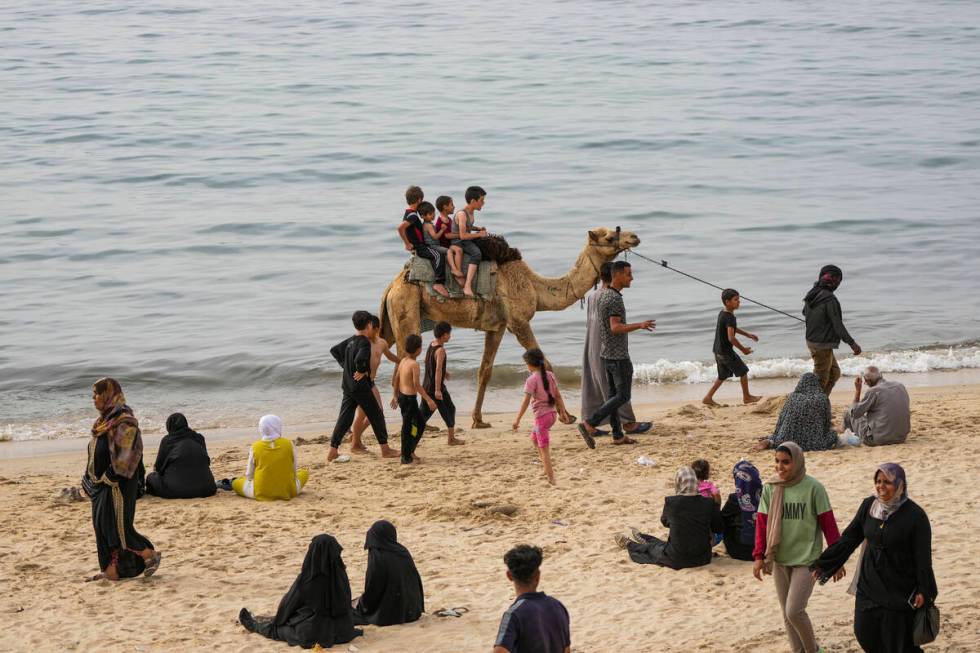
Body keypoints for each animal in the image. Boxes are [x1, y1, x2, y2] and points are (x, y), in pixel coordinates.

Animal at [378, 225, 644, 428]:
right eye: (609, 236)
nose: (634, 236)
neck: (535, 286)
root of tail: (391, 287)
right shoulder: (519, 321)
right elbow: (546, 364)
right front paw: (566, 416)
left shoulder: (497, 327)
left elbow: (485, 371)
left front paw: (478, 420)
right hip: (406, 310)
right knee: (402, 363)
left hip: (391, 321)